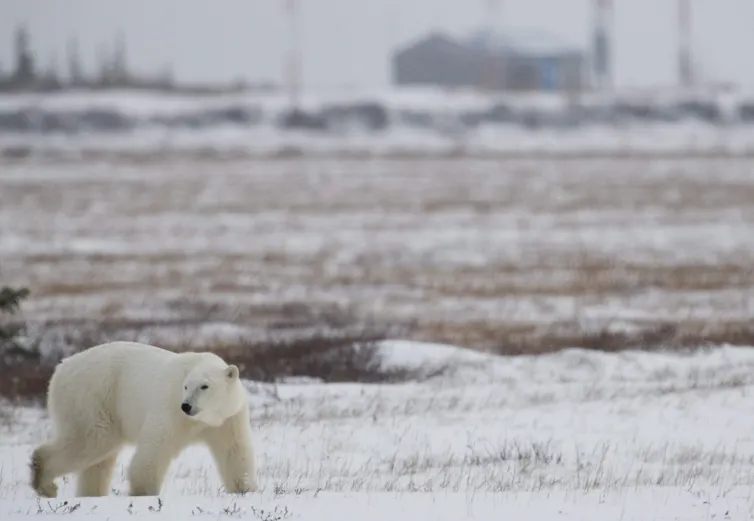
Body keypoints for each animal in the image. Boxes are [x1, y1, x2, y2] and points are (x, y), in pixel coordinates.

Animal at [30, 341, 259, 498]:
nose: (186, 405)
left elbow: (234, 451)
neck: (204, 419)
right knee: (91, 441)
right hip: (92, 397)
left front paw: (244, 489)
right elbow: (155, 447)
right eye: (186, 386)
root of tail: (61, 368)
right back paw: (45, 484)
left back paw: (91, 494)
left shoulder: (228, 418)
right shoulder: (170, 408)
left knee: (99, 459)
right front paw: (144, 493)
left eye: (204, 386)